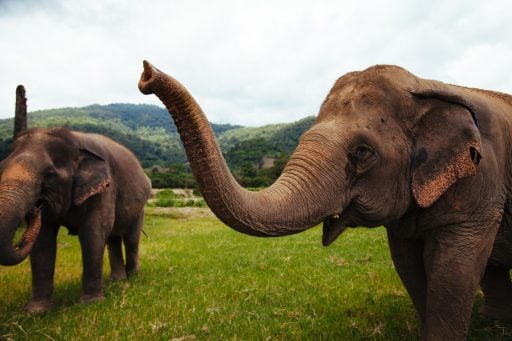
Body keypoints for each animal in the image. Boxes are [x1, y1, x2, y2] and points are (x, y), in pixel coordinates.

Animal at [0, 125, 151, 314]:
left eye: (49, 175)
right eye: (1, 168)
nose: (35, 208)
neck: (75, 141)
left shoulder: (105, 188)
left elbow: (92, 233)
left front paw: (91, 304)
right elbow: (43, 241)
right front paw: (37, 311)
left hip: (140, 207)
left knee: (130, 239)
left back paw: (132, 279)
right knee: (113, 239)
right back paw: (117, 281)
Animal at [139, 59, 512, 338]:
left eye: (362, 152)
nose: (145, 74)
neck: (425, 85)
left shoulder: (481, 186)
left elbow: (453, 274)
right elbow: (409, 266)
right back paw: (494, 323)